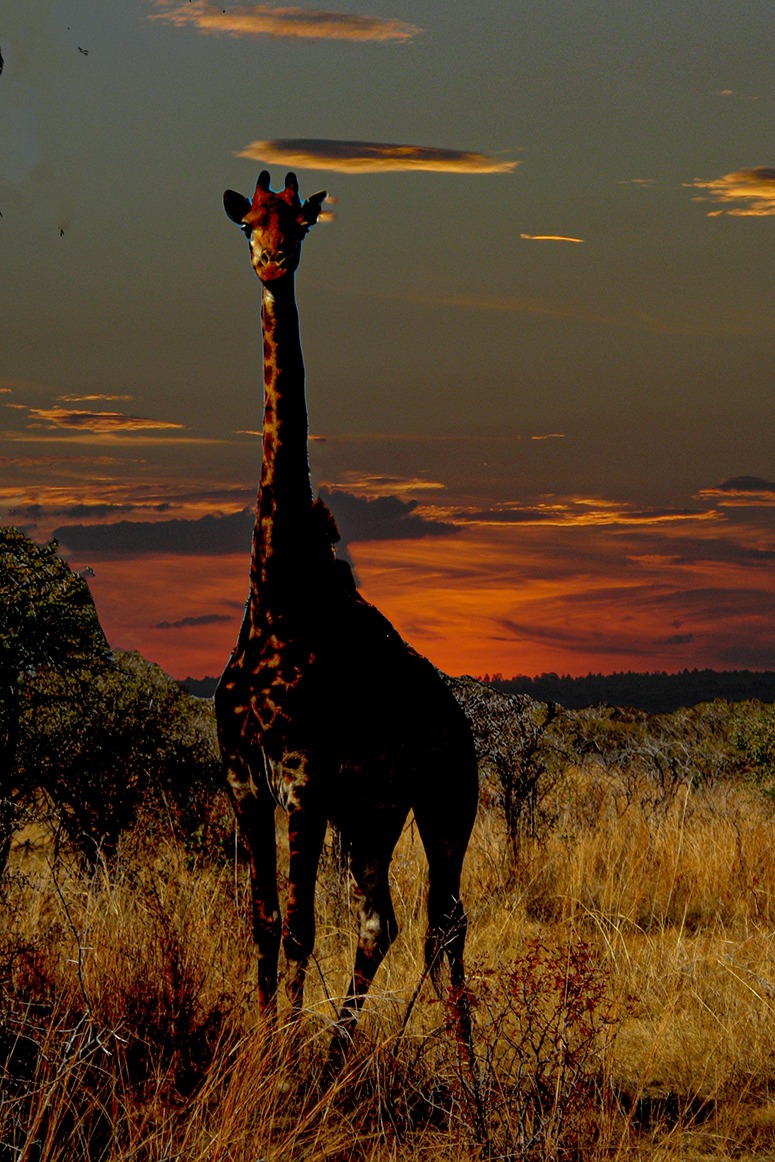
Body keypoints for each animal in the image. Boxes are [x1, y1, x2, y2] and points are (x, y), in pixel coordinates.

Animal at [215, 171, 479, 1057]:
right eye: (246, 224)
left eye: (299, 223)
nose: (271, 261)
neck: (276, 594)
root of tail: (462, 721)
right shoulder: (245, 776)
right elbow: (264, 923)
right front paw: (263, 1051)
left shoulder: (303, 777)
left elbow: (298, 928)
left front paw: (277, 1066)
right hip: (374, 813)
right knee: (380, 920)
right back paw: (337, 1053)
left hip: (445, 799)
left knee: (445, 921)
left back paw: (466, 1075)